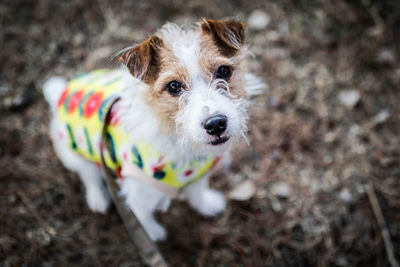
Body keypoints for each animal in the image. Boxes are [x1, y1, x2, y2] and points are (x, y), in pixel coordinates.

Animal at [43, 18, 266, 241]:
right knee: (89, 175)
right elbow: (142, 216)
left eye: (223, 71)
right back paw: (97, 198)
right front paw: (152, 233)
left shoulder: (198, 176)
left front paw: (206, 204)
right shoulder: (140, 193)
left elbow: (197, 191)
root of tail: (61, 93)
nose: (216, 123)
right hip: (74, 153)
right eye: (174, 86)